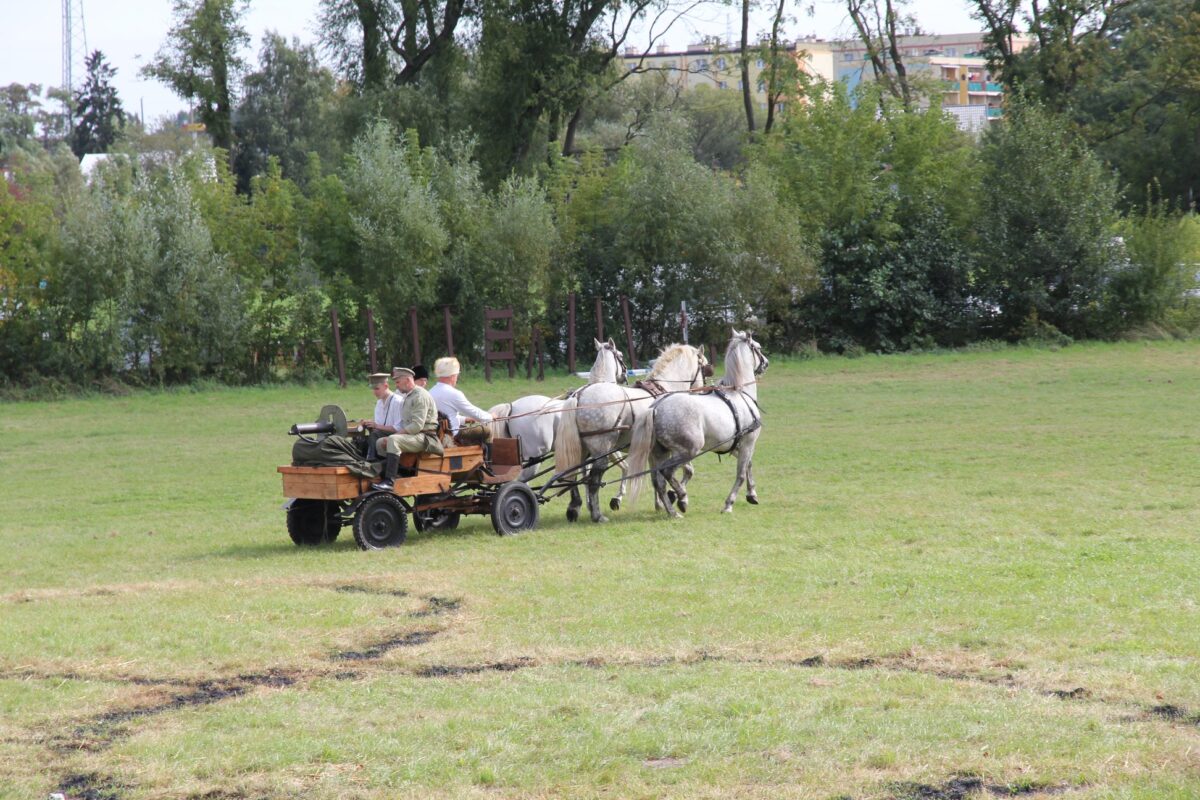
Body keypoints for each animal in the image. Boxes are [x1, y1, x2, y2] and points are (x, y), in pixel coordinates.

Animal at [487, 338, 628, 482]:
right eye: (621, 355)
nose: (624, 376)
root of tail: (512, 407)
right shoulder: (606, 446)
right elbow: (624, 467)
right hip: (534, 458)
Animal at [554, 340, 710, 522]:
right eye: (704, 367)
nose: (703, 389)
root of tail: (578, 395)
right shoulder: (674, 448)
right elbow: (687, 470)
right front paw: (679, 498)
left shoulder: (654, 450)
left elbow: (656, 478)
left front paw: (661, 503)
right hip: (601, 449)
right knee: (593, 479)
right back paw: (597, 514)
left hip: (581, 449)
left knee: (573, 474)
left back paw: (575, 507)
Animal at [628, 328, 768, 515]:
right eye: (758, 347)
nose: (766, 363)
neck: (739, 392)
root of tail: (656, 408)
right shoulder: (748, 442)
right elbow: (740, 474)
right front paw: (729, 504)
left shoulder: (735, 445)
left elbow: (748, 465)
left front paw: (752, 494)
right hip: (688, 450)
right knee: (667, 472)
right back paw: (681, 497)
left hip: (661, 452)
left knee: (658, 481)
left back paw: (673, 512)